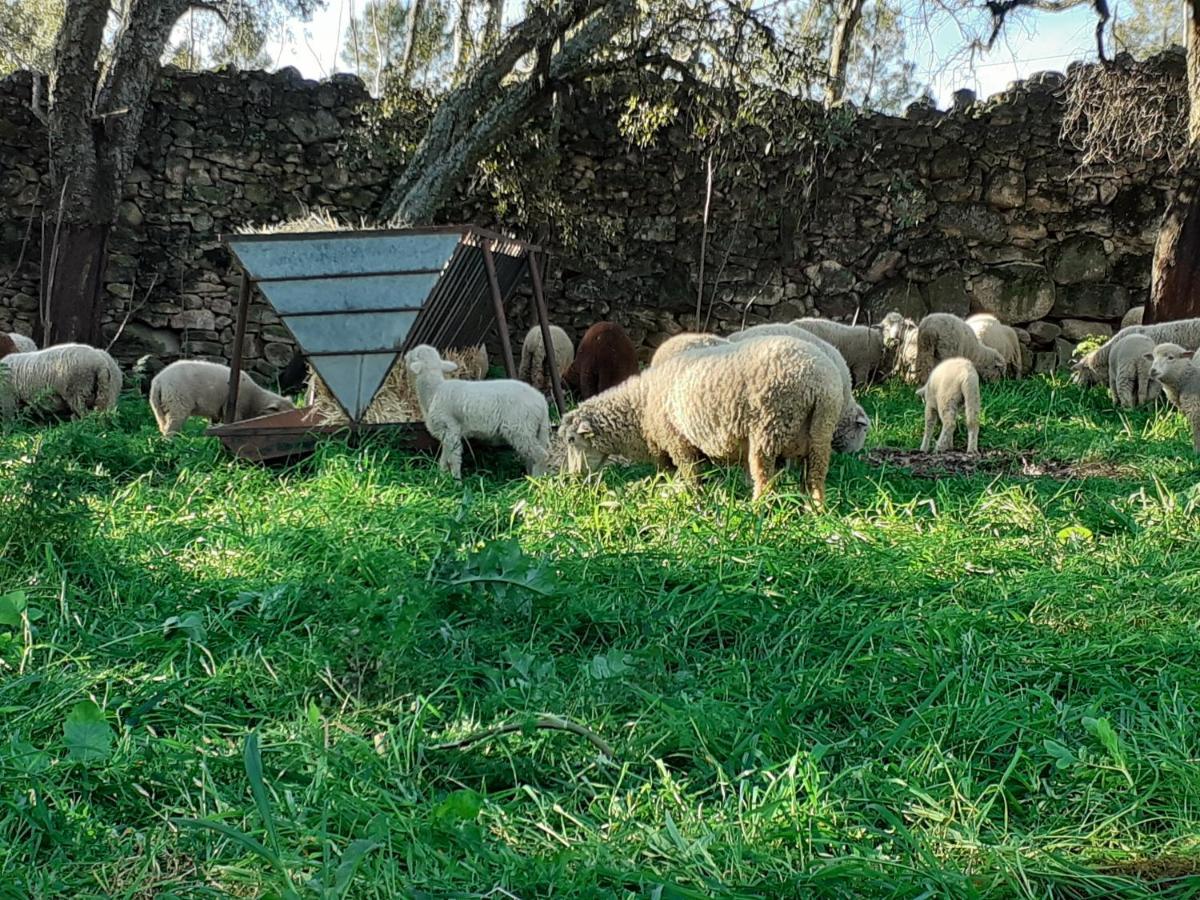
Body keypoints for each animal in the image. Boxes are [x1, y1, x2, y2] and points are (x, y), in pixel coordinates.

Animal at [148, 362, 292, 441]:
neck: (254, 400)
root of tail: (158, 381)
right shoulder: (236, 406)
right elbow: (235, 422)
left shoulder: (217, 411)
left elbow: (214, 424)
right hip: (177, 402)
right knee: (171, 428)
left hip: (160, 407)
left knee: (163, 426)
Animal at [403, 340, 552, 480]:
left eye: (414, 355)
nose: (405, 355)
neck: (434, 390)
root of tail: (541, 401)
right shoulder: (446, 433)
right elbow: (444, 458)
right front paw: (441, 477)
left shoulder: (451, 428)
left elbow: (454, 457)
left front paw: (455, 480)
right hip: (534, 430)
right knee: (532, 456)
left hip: (520, 428)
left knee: (541, 456)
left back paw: (535, 482)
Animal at [559, 338, 844, 504]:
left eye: (572, 440)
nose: (573, 479)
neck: (641, 406)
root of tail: (819, 383)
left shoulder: (677, 443)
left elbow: (689, 476)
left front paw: (695, 501)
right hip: (819, 434)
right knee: (815, 477)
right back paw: (816, 511)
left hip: (768, 428)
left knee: (764, 480)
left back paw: (756, 511)